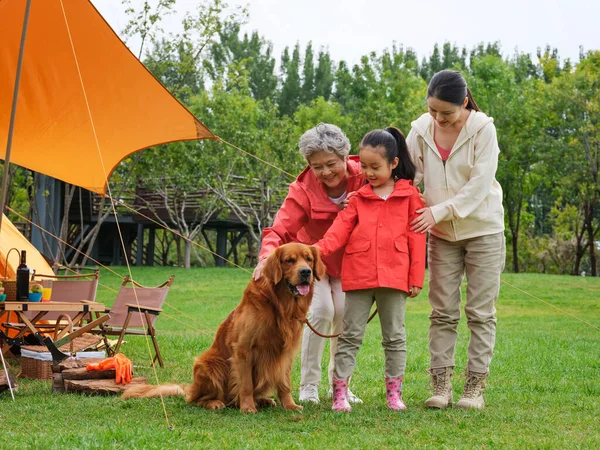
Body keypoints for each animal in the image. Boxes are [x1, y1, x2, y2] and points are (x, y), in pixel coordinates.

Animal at [122, 244, 326, 414]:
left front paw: (290, 405)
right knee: (196, 399)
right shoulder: (243, 350)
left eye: (308, 259)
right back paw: (216, 403)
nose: (306, 272)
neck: (279, 305)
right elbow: (246, 384)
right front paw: (247, 407)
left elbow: (284, 384)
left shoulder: (285, 353)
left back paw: (263, 400)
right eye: (289, 260)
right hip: (209, 363)